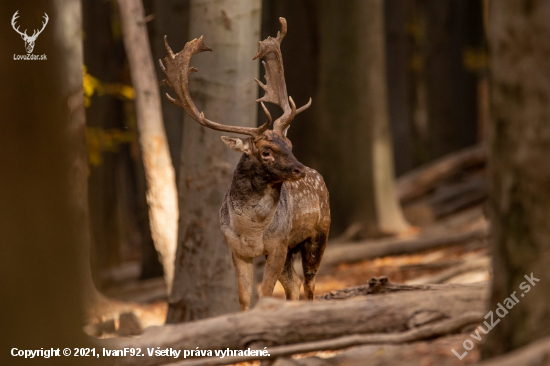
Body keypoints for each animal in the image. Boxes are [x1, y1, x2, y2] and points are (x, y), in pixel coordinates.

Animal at [160, 17, 332, 312]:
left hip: (318, 235)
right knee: (295, 285)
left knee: (309, 286)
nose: (298, 169)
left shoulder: (276, 245)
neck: (251, 231)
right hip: (291, 251)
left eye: (290, 144)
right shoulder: (237, 250)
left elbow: (265, 294)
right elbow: (244, 298)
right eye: (265, 151)